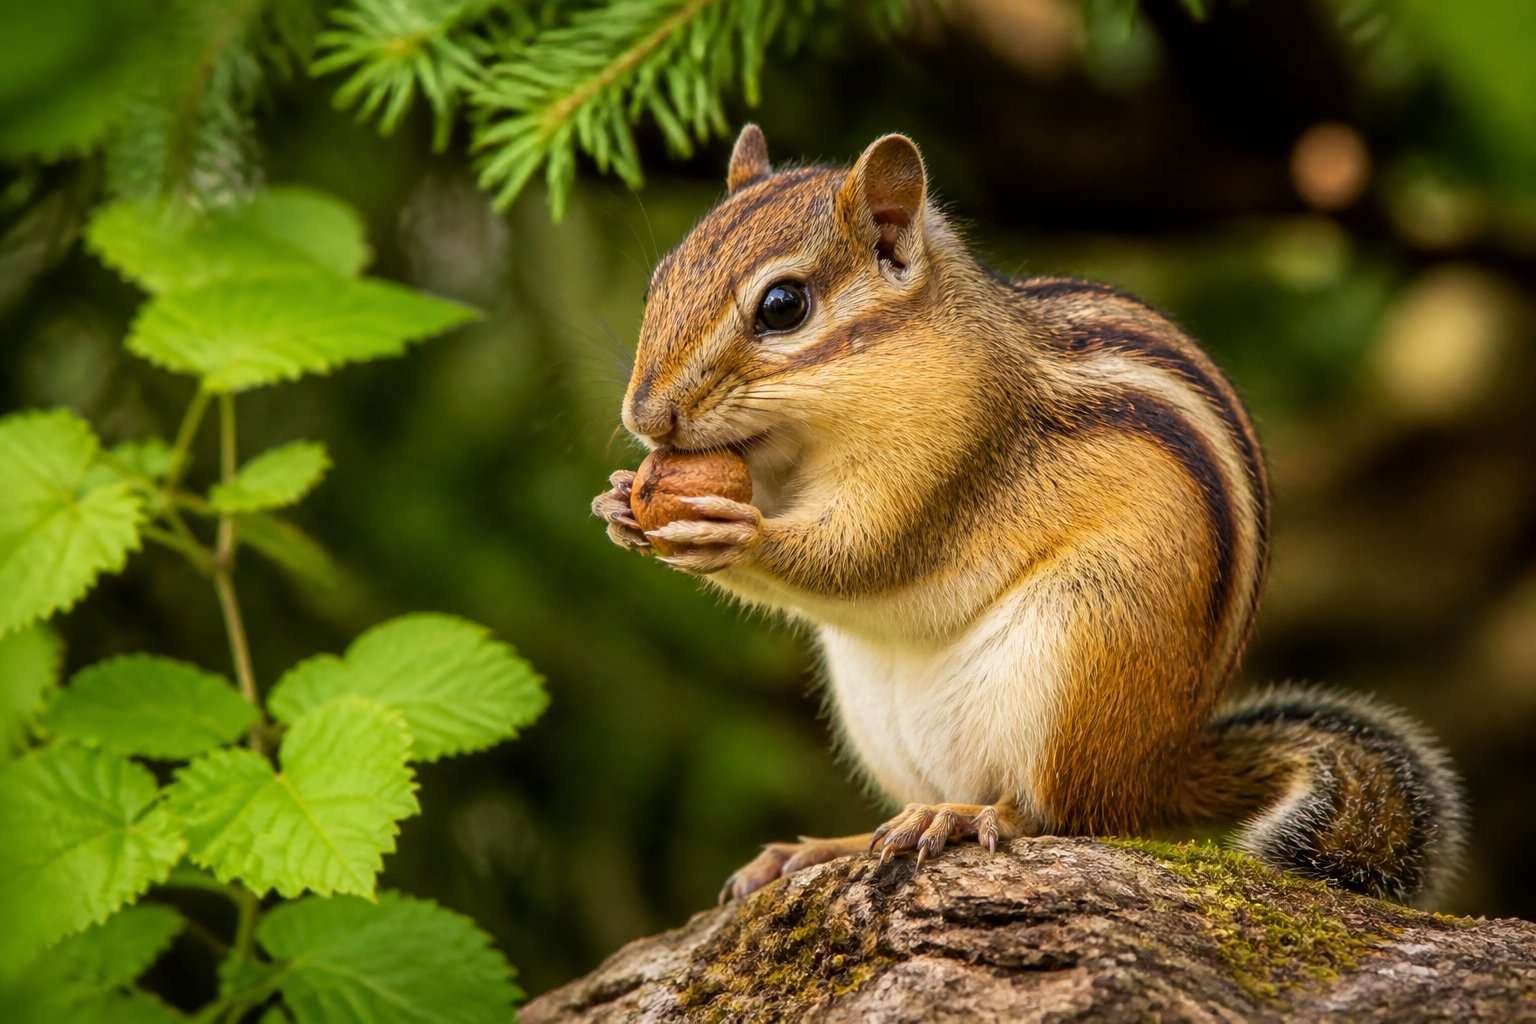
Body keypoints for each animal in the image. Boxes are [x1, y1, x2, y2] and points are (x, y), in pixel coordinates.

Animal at [591, 124, 1466, 907]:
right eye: (659, 279)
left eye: (783, 306)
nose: (645, 416)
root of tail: (1161, 767)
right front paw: (617, 503)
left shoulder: (950, 451)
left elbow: (863, 554)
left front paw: (732, 530)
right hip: (876, 710)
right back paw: (831, 846)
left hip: (1080, 654)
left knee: (1062, 814)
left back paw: (967, 818)